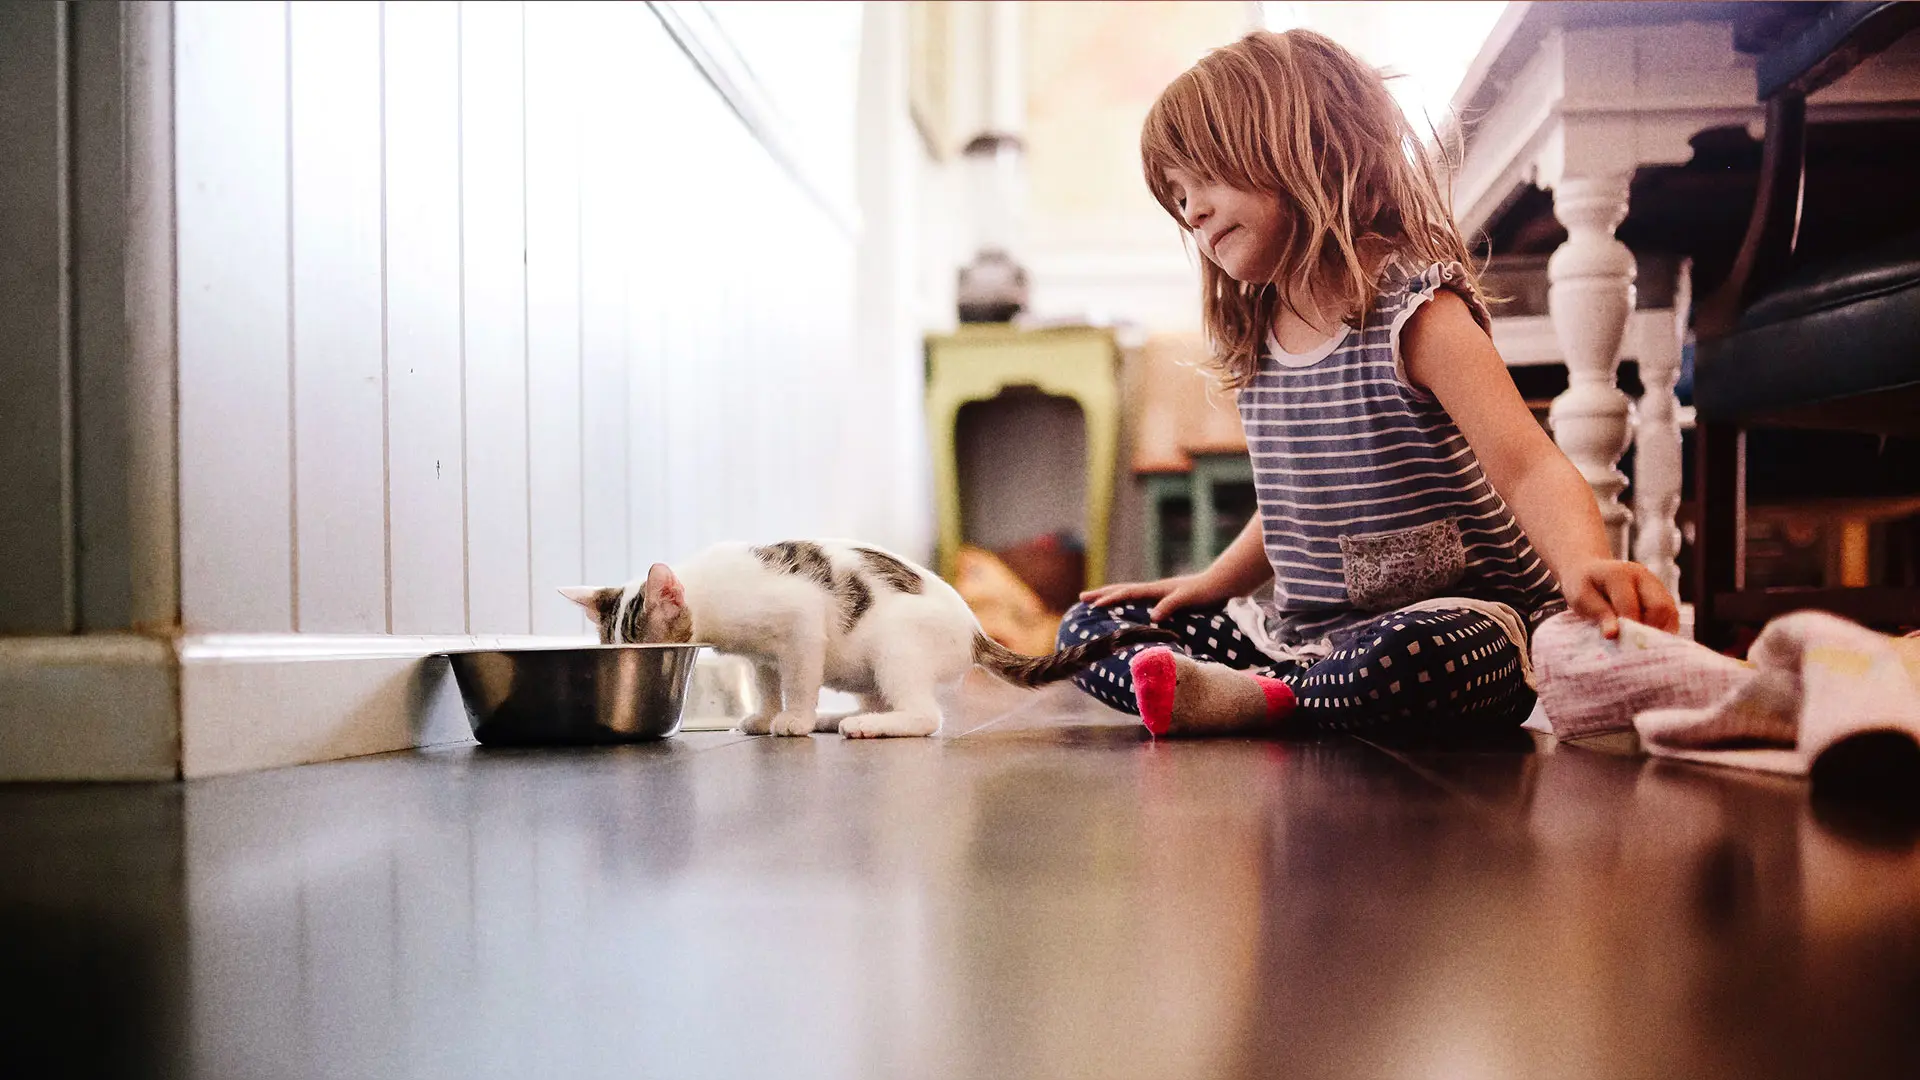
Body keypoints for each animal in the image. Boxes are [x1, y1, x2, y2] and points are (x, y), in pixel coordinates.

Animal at [560, 534, 1175, 734]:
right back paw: (844, 717)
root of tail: (973, 630)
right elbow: (767, 680)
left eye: (647, 649)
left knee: (927, 716)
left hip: (895, 643)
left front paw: (794, 719)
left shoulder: (799, 624)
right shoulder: (762, 654)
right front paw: (764, 714)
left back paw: (870, 726)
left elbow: (799, 676)